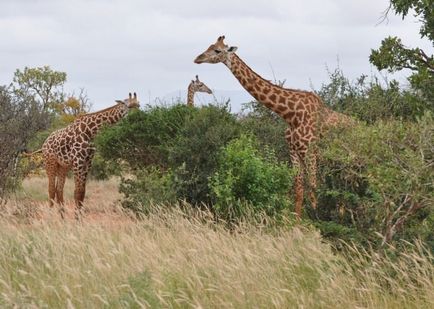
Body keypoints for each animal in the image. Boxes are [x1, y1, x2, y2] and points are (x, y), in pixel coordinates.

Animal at [41, 91, 138, 219]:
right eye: (128, 106)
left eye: (138, 105)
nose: (137, 117)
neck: (90, 132)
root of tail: (45, 143)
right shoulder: (78, 161)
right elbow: (77, 192)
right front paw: (77, 218)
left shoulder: (88, 162)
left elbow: (82, 192)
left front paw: (80, 217)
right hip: (50, 163)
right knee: (51, 189)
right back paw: (51, 217)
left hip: (63, 166)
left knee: (59, 189)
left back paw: (63, 217)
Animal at [195, 35, 350, 217]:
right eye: (209, 46)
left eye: (217, 50)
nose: (197, 58)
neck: (290, 114)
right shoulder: (293, 151)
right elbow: (298, 190)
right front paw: (297, 222)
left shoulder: (310, 151)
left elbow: (313, 188)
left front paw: (316, 219)